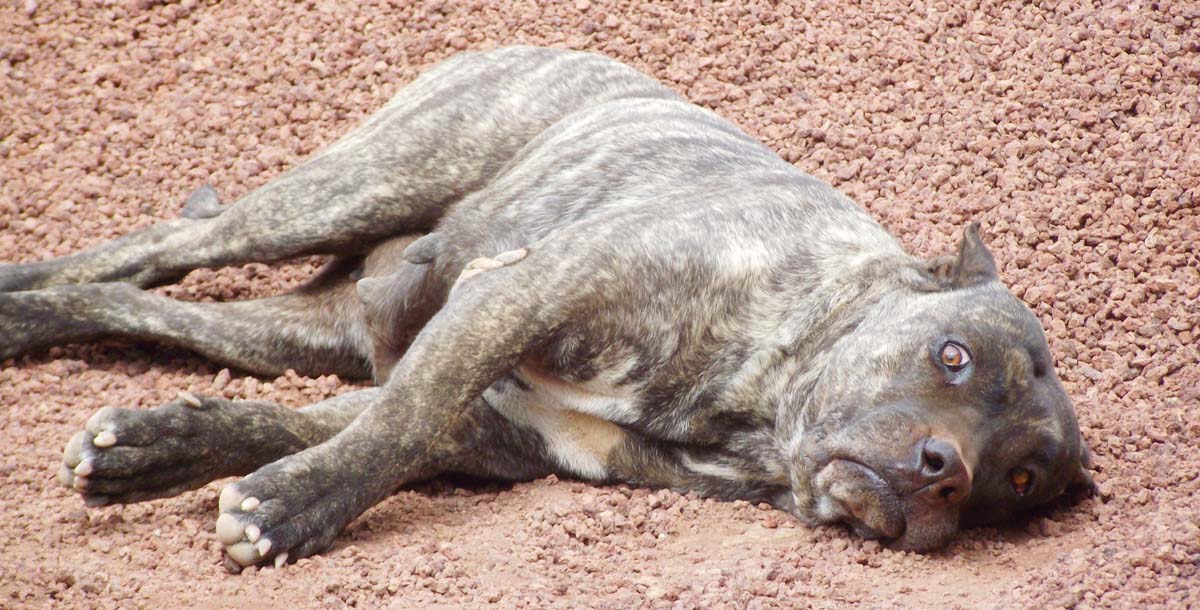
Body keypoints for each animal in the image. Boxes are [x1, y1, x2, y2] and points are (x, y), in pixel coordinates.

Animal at [0, 45, 1099, 569]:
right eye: (952, 357)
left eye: (1021, 479)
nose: (947, 473)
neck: (762, 400)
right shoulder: (516, 300)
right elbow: (398, 425)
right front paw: (289, 511)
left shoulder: (495, 429)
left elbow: (331, 425)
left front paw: (162, 451)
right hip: (346, 191)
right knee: (155, 249)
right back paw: (17, 298)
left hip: (293, 328)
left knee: (138, 304)